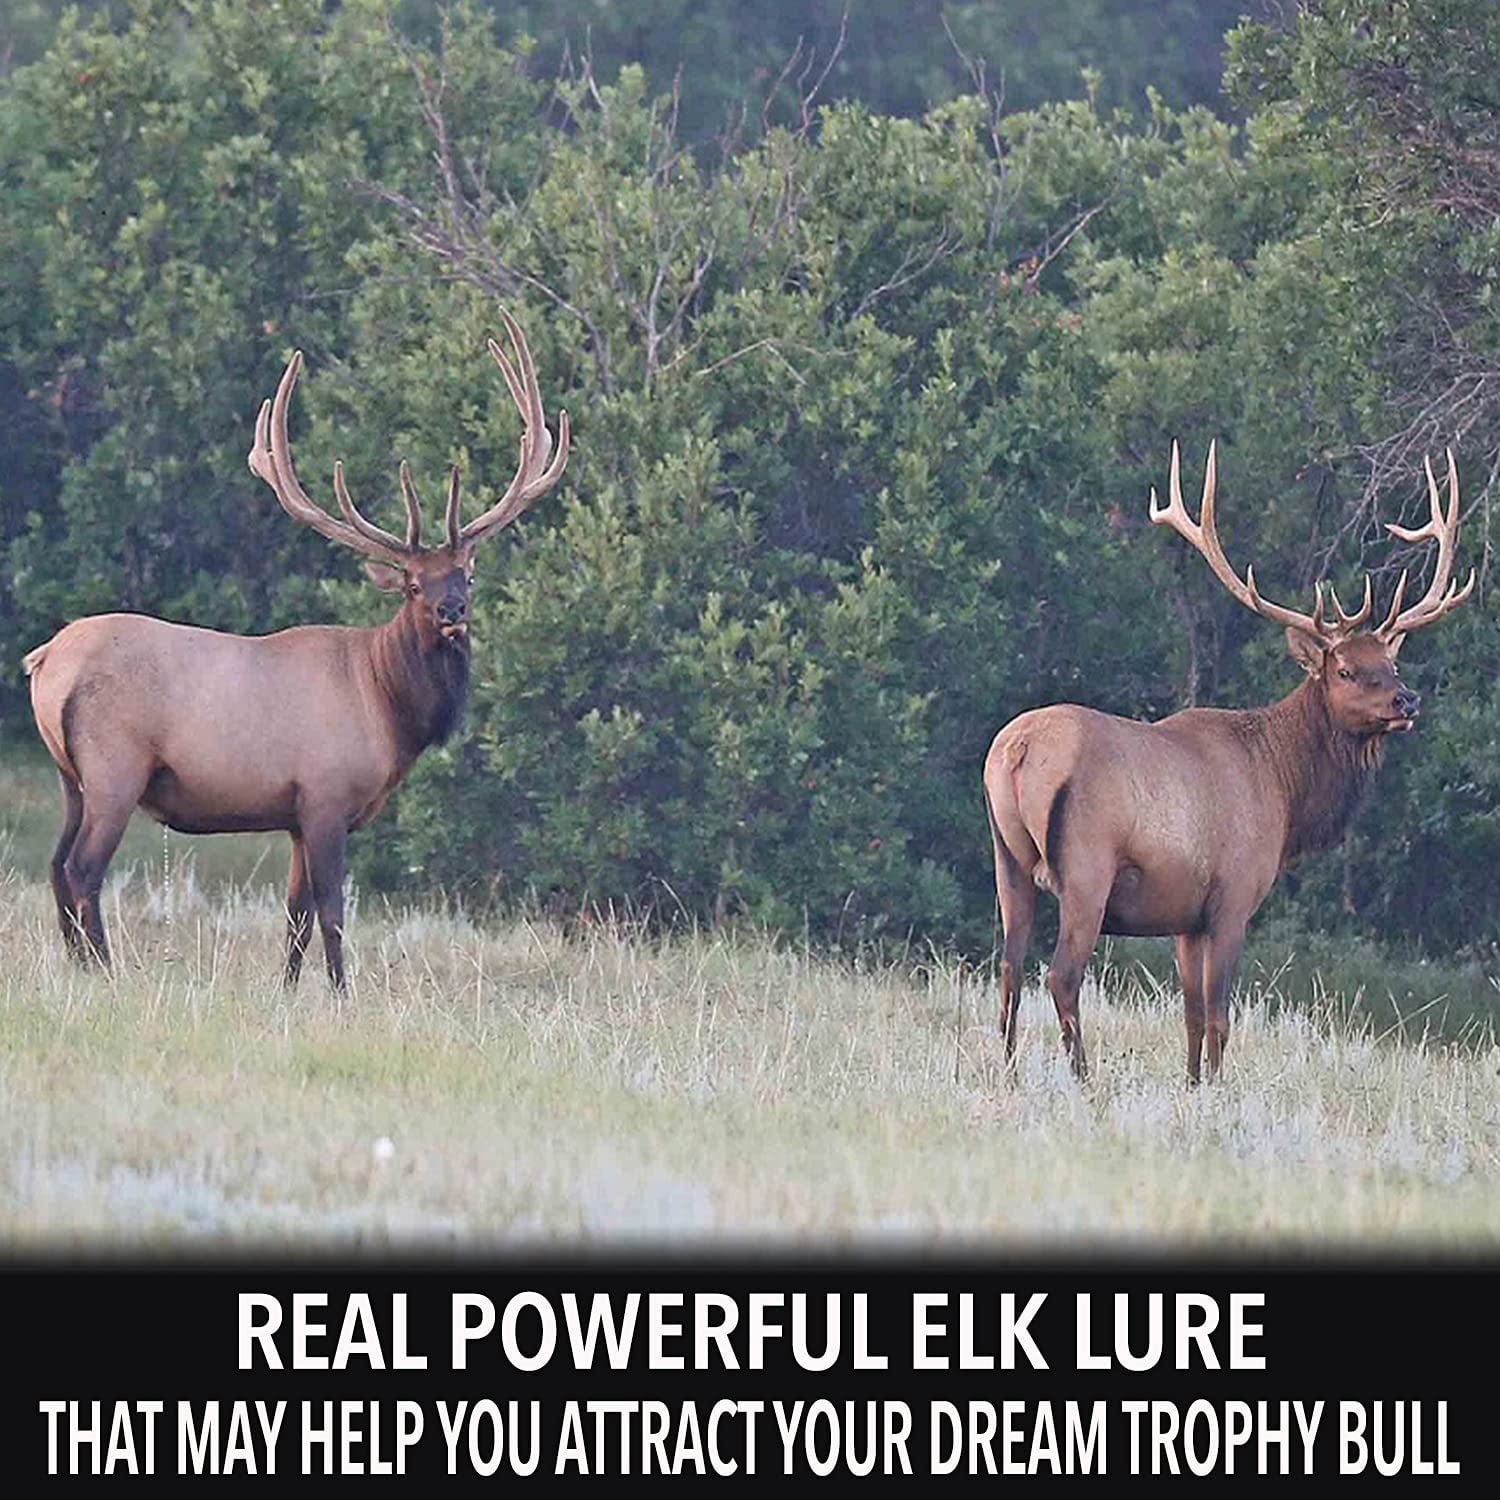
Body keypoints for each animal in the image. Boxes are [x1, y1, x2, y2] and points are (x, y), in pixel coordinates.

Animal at [22, 310, 569, 990]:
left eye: (466, 573)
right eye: (414, 584)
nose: (452, 612)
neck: (387, 707)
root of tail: (43, 661)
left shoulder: (294, 816)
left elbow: (296, 915)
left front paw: (286, 989)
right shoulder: (327, 795)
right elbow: (332, 910)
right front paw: (341, 992)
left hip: (70, 777)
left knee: (53, 865)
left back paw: (80, 967)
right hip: (114, 768)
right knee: (82, 870)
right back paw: (105, 969)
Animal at [983, 440, 1473, 1083]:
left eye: (1390, 663)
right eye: (1345, 669)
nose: (1407, 701)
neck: (1286, 793)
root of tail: (1015, 750)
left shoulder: (1186, 917)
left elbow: (1191, 1016)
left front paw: (1194, 1085)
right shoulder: (1234, 897)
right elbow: (1220, 1015)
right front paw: (1217, 1087)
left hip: (1007, 859)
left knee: (1008, 970)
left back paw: (1009, 1072)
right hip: (1086, 866)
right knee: (1061, 977)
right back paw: (1084, 1080)